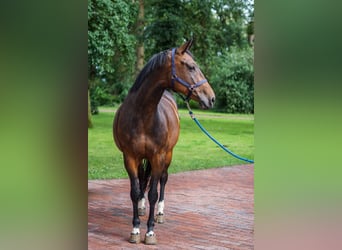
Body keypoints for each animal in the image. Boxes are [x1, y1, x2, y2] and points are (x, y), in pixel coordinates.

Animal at [113, 40, 215, 245]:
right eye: (191, 66)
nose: (211, 98)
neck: (143, 116)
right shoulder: (130, 157)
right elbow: (135, 191)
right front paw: (135, 229)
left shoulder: (158, 156)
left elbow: (153, 192)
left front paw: (150, 232)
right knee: (143, 178)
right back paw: (142, 207)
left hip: (167, 155)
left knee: (163, 179)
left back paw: (160, 212)